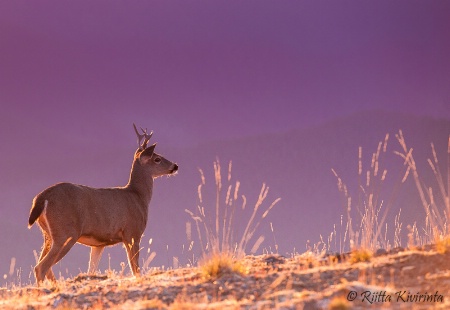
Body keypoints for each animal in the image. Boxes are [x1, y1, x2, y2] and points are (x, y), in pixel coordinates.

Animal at [26, 124, 179, 284]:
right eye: (157, 159)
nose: (175, 166)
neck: (138, 196)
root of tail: (42, 197)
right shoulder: (132, 232)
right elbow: (135, 269)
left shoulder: (99, 244)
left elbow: (91, 270)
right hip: (66, 233)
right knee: (41, 267)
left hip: (48, 234)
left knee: (44, 266)